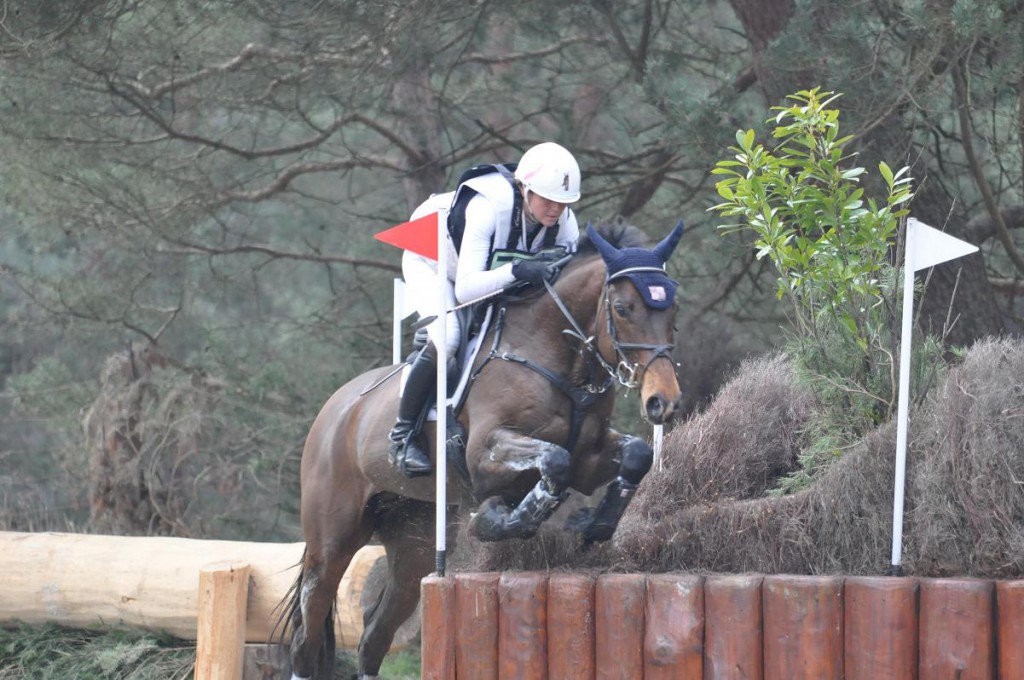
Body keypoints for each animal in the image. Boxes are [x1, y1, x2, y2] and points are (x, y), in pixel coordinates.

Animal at [276, 220, 684, 675]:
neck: (550, 351)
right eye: (624, 309)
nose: (663, 402)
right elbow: (552, 462)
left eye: (673, 311)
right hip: (332, 540)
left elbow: (634, 455)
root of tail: (335, 409)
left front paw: (593, 524)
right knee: (309, 633)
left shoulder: (591, 454)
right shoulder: (486, 454)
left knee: (374, 636)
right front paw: (499, 520)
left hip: (415, 542)